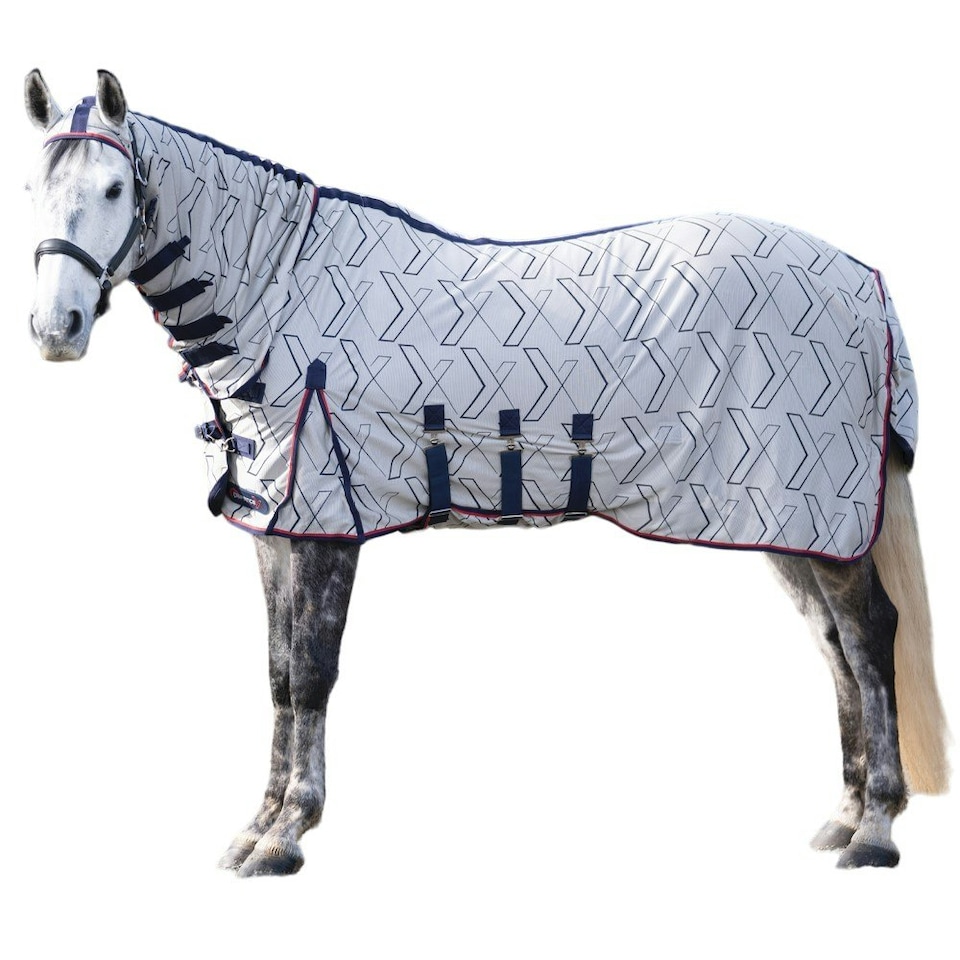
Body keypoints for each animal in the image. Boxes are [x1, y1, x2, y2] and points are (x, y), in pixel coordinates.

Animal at [24, 68, 949, 875]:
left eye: (117, 189)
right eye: (32, 188)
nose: (54, 328)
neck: (280, 294)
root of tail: (865, 282)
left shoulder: (327, 528)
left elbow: (313, 673)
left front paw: (287, 836)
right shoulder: (277, 526)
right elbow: (280, 675)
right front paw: (257, 827)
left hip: (818, 514)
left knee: (870, 638)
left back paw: (874, 830)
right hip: (787, 525)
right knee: (835, 647)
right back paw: (842, 818)